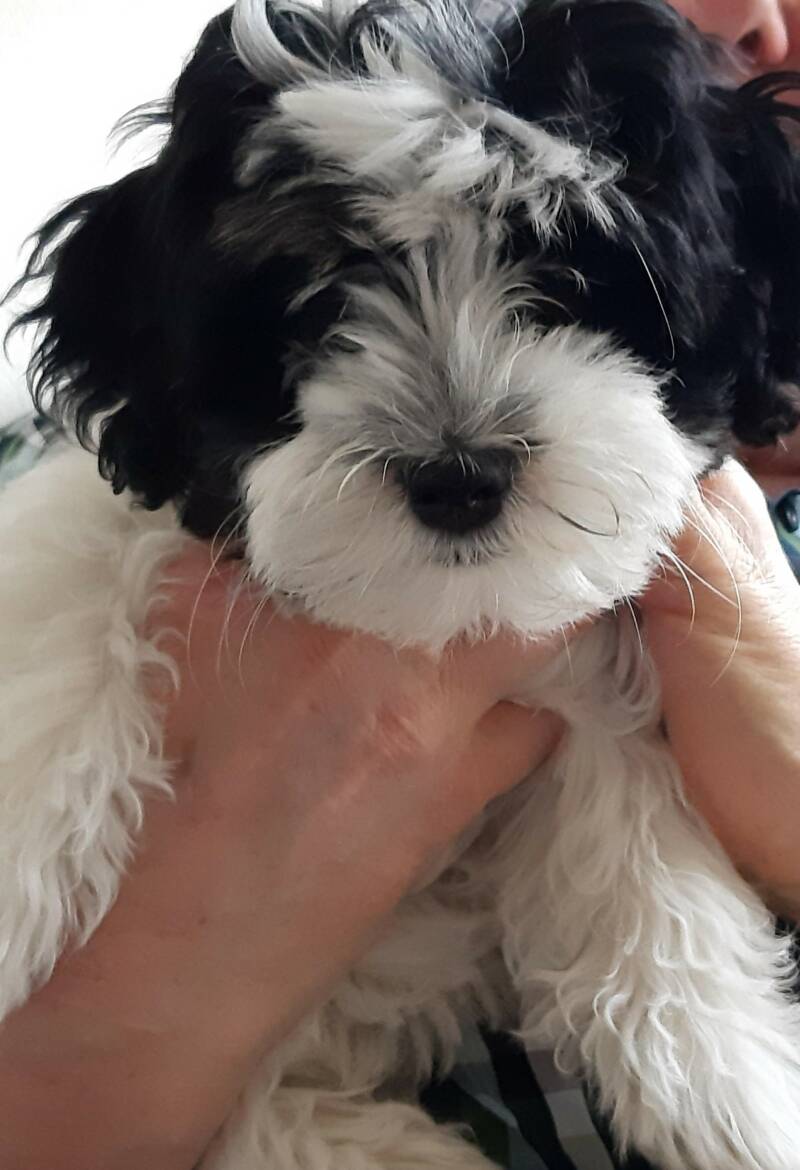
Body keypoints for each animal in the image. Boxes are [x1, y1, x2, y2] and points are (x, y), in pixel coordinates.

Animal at [4, 0, 800, 1165]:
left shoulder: (580, 663)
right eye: (318, 297)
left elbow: (631, 828)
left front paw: (725, 1074)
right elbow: (76, 572)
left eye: (572, 276)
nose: (458, 476)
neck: (430, 622)